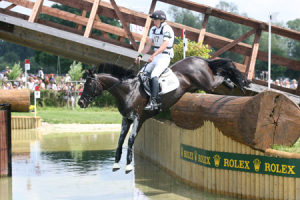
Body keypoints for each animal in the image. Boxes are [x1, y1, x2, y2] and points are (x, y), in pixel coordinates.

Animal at [78, 56, 251, 173]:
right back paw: (231, 84)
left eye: (89, 84)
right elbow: (121, 140)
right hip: (199, 85)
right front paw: (115, 163)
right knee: (220, 72)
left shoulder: (138, 119)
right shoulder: (126, 119)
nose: (80, 103)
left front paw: (128, 165)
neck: (128, 90)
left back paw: (235, 83)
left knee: (221, 74)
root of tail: (198, 59)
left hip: (207, 84)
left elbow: (131, 140)